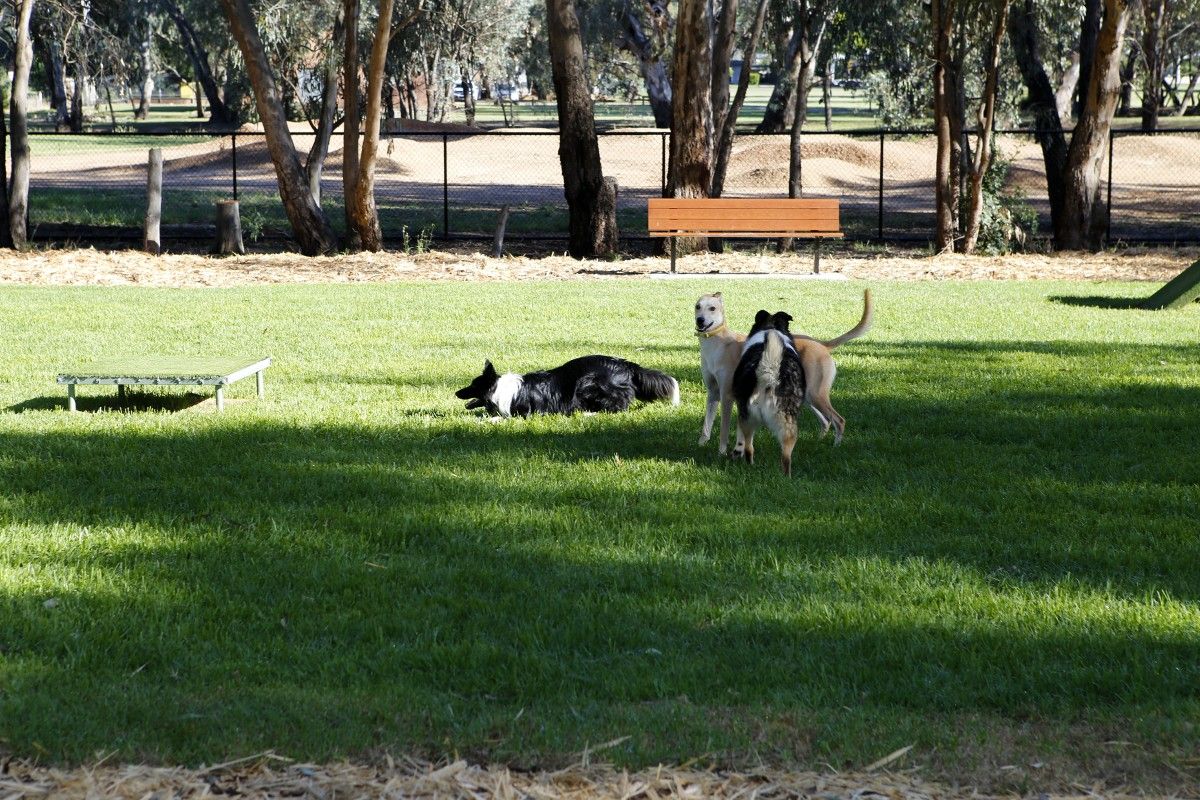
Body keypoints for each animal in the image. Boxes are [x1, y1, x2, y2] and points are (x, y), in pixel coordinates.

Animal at [453, 357, 681, 419]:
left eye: (473, 385)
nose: (456, 393)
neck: (501, 389)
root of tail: (627, 365)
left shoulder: (526, 414)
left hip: (588, 384)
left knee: (618, 406)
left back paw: (588, 413)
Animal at [696, 289, 873, 453]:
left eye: (712, 308)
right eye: (697, 306)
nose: (700, 320)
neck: (718, 343)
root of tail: (821, 344)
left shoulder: (727, 396)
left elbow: (724, 430)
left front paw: (722, 452)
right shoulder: (713, 393)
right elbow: (706, 424)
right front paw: (701, 444)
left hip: (815, 394)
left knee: (839, 420)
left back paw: (835, 447)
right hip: (808, 396)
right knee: (826, 421)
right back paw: (816, 443)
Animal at [729, 311, 806, 474]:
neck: (770, 327)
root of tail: (769, 373)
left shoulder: (741, 410)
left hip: (748, 418)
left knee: (749, 447)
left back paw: (750, 466)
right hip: (788, 425)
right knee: (785, 458)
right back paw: (786, 477)